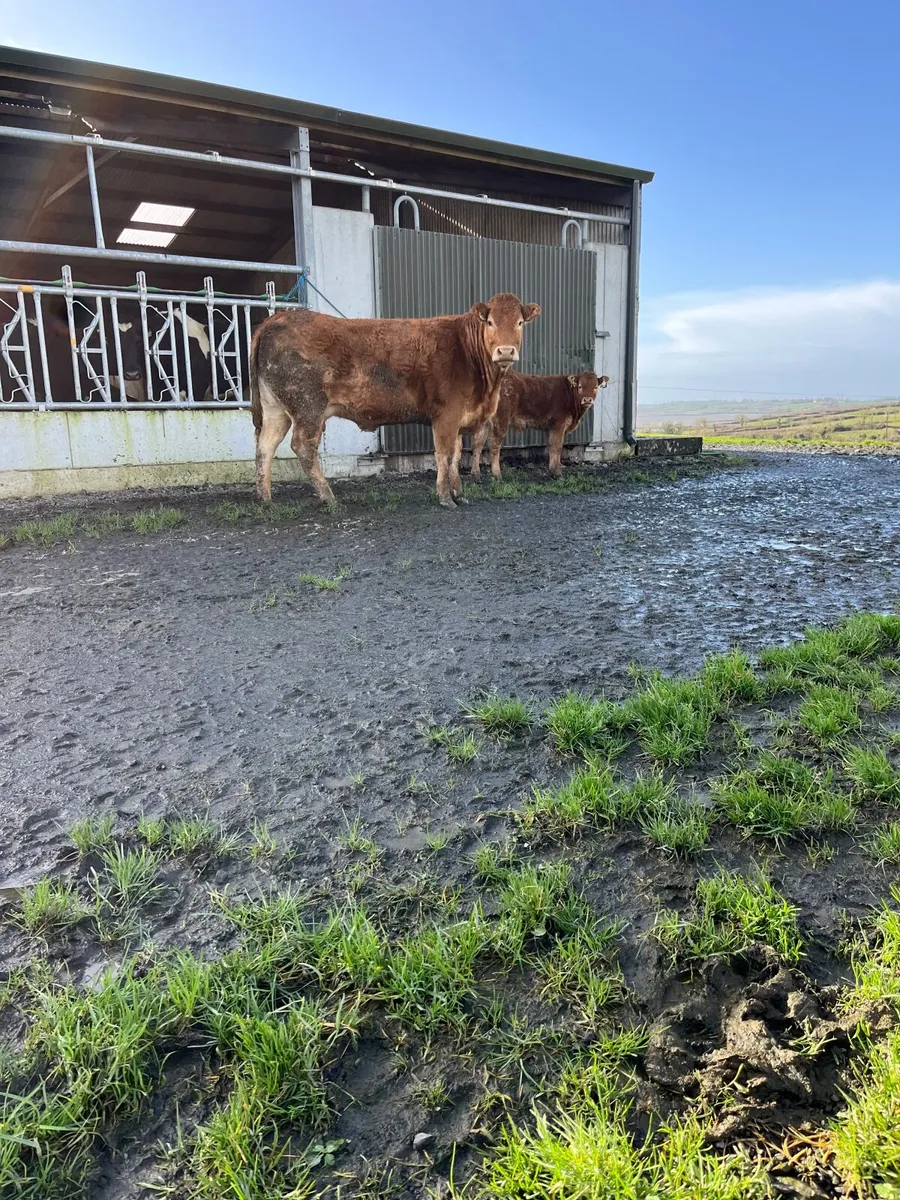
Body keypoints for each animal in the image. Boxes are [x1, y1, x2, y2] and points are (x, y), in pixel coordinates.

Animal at [250, 293, 540, 507]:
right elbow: (444, 455)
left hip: (276, 408)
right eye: (490, 322)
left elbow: (457, 457)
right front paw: (445, 497)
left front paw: (459, 493)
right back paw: (329, 498)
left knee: (265, 446)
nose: (505, 351)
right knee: (302, 447)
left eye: (520, 323)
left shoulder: (459, 419)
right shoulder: (446, 414)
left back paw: (266, 499)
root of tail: (277, 318)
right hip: (307, 406)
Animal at [467, 370, 609, 479]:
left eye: (595, 387)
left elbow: (551, 446)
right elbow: (557, 447)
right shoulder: (559, 425)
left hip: (484, 422)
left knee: (477, 444)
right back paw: (497, 474)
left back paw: (475, 474)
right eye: (580, 386)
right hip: (501, 420)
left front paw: (552, 470)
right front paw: (557, 473)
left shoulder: (549, 427)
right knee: (494, 445)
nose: (587, 399)